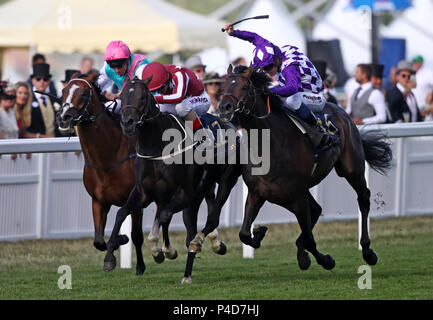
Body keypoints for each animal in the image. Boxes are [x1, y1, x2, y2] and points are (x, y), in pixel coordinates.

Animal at [103, 77, 241, 282]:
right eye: (121, 95)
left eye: (142, 96)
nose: (127, 122)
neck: (157, 146)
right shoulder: (144, 192)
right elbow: (121, 213)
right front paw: (109, 257)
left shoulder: (183, 194)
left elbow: (163, 217)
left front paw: (161, 251)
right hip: (201, 190)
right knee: (195, 221)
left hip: (225, 182)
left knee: (210, 218)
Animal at [219, 66, 392, 272]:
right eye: (223, 85)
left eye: (245, 87)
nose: (224, 107)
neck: (269, 145)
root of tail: (342, 111)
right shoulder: (259, 193)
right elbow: (244, 234)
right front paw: (260, 233)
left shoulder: (297, 196)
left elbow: (310, 239)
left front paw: (326, 260)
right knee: (316, 209)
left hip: (351, 168)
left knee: (363, 198)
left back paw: (367, 250)